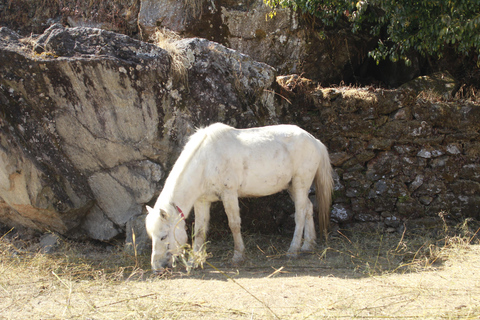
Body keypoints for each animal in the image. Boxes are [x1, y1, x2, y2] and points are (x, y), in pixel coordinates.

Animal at [146, 123, 334, 272]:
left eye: (163, 236)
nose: (156, 268)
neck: (206, 161)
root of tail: (314, 141)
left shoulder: (229, 194)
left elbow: (234, 225)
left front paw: (238, 256)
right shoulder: (202, 201)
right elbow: (199, 231)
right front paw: (193, 261)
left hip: (300, 184)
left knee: (300, 214)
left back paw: (293, 250)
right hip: (292, 187)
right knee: (308, 208)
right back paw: (308, 245)